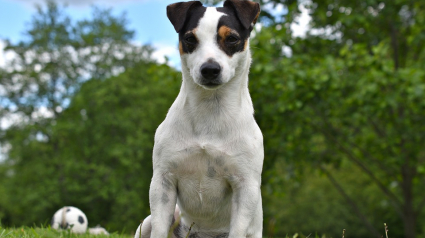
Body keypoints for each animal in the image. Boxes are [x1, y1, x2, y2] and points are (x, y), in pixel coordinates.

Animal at [135, 0, 262, 237]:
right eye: (190, 39)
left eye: (232, 38)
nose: (210, 69)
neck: (209, 112)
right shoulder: (162, 182)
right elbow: (159, 227)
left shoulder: (245, 186)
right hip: (150, 221)